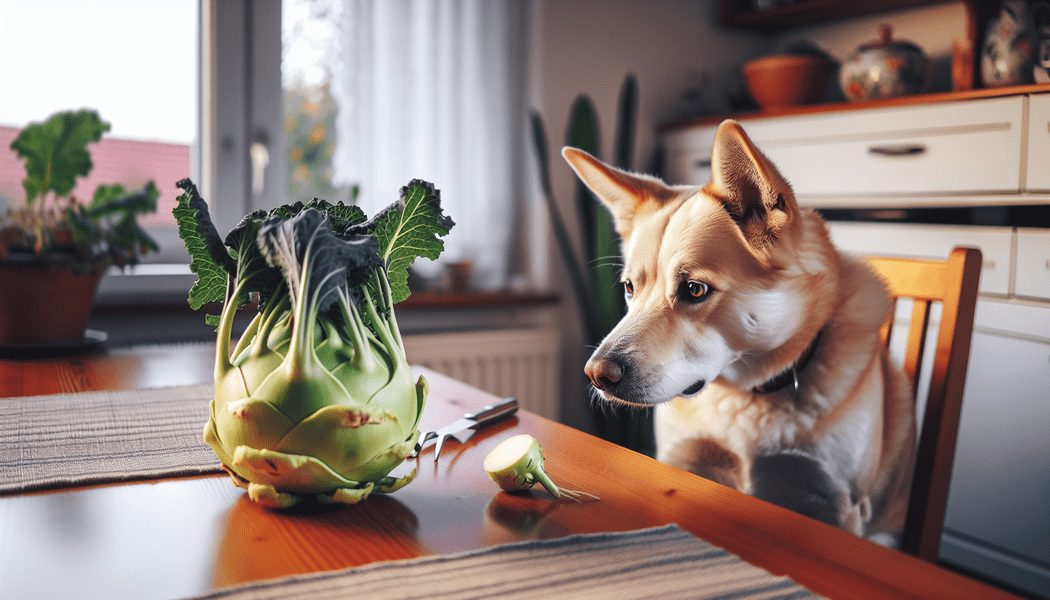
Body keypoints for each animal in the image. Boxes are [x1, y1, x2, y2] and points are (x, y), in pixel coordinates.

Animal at [562, 120, 915, 546]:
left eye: (694, 289)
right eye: (630, 288)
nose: (596, 374)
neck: (744, 397)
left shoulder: (840, 505)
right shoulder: (680, 459)